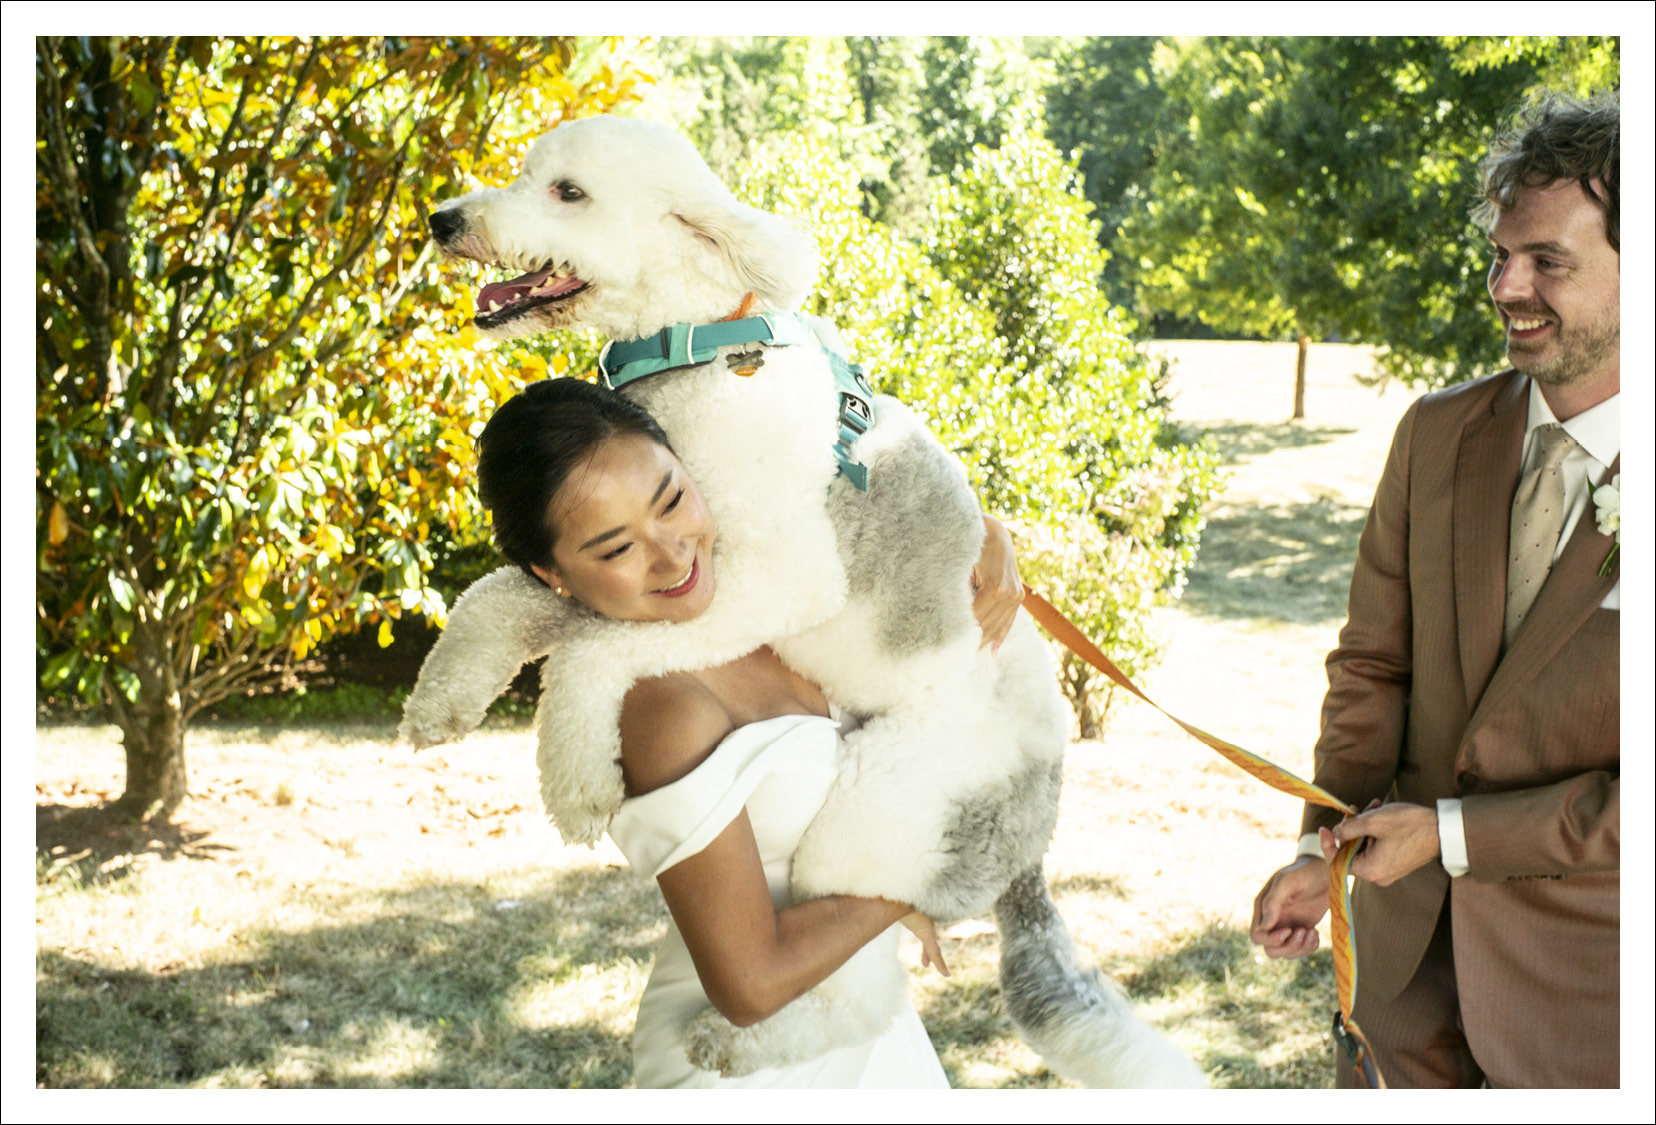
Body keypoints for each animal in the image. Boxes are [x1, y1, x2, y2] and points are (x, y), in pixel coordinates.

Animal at [403, 115, 1204, 1087]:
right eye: (526, 174)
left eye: (569, 192)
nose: (443, 219)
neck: (701, 346)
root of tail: (1032, 838)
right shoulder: (650, 571)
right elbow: (500, 598)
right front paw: (443, 699)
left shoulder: (777, 575)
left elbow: (593, 650)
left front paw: (576, 782)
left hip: (879, 806)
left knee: (851, 984)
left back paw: (734, 1040)